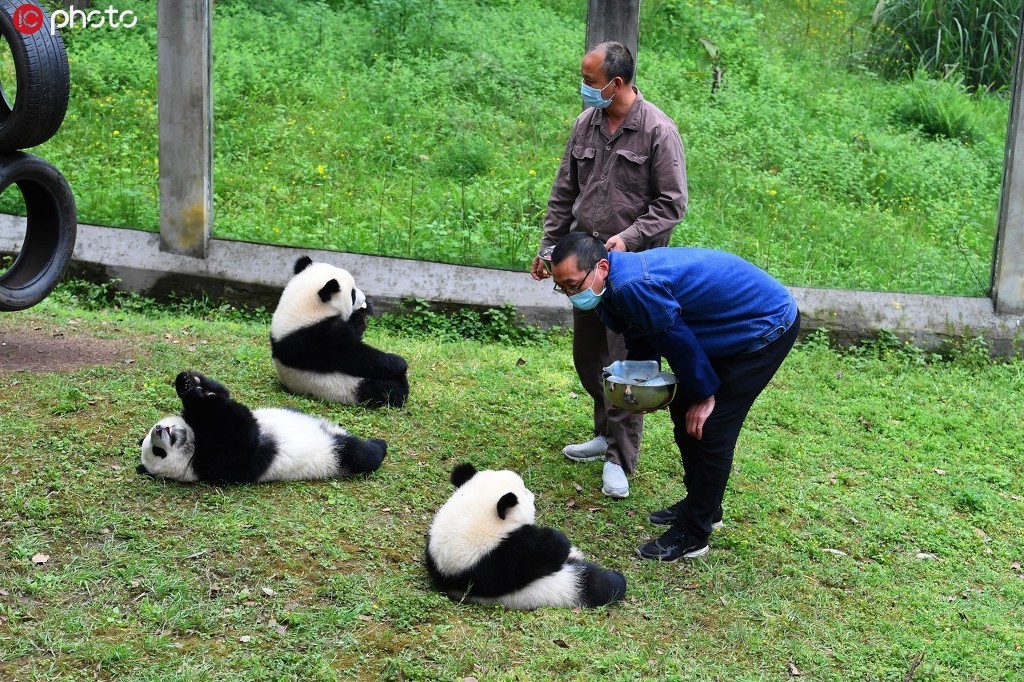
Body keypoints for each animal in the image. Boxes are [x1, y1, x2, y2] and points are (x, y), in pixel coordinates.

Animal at [138, 368, 385, 481]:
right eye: (158, 452)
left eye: (154, 442)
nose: (160, 430)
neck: (194, 441)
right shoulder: (219, 463)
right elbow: (244, 435)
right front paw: (197, 396)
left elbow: (222, 395)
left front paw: (189, 382)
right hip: (335, 455)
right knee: (360, 454)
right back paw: (379, 446)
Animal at [270, 253, 409, 403]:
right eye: (352, 294)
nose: (364, 298)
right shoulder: (316, 338)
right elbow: (355, 356)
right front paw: (399, 362)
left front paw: (364, 312)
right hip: (346, 387)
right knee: (384, 389)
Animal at [421, 458, 622, 606]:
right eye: (524, 491)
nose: (533, 495)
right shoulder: (495, 562)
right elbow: (538, 553)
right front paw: (558, 542)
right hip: (562, 586)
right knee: (594, 583)